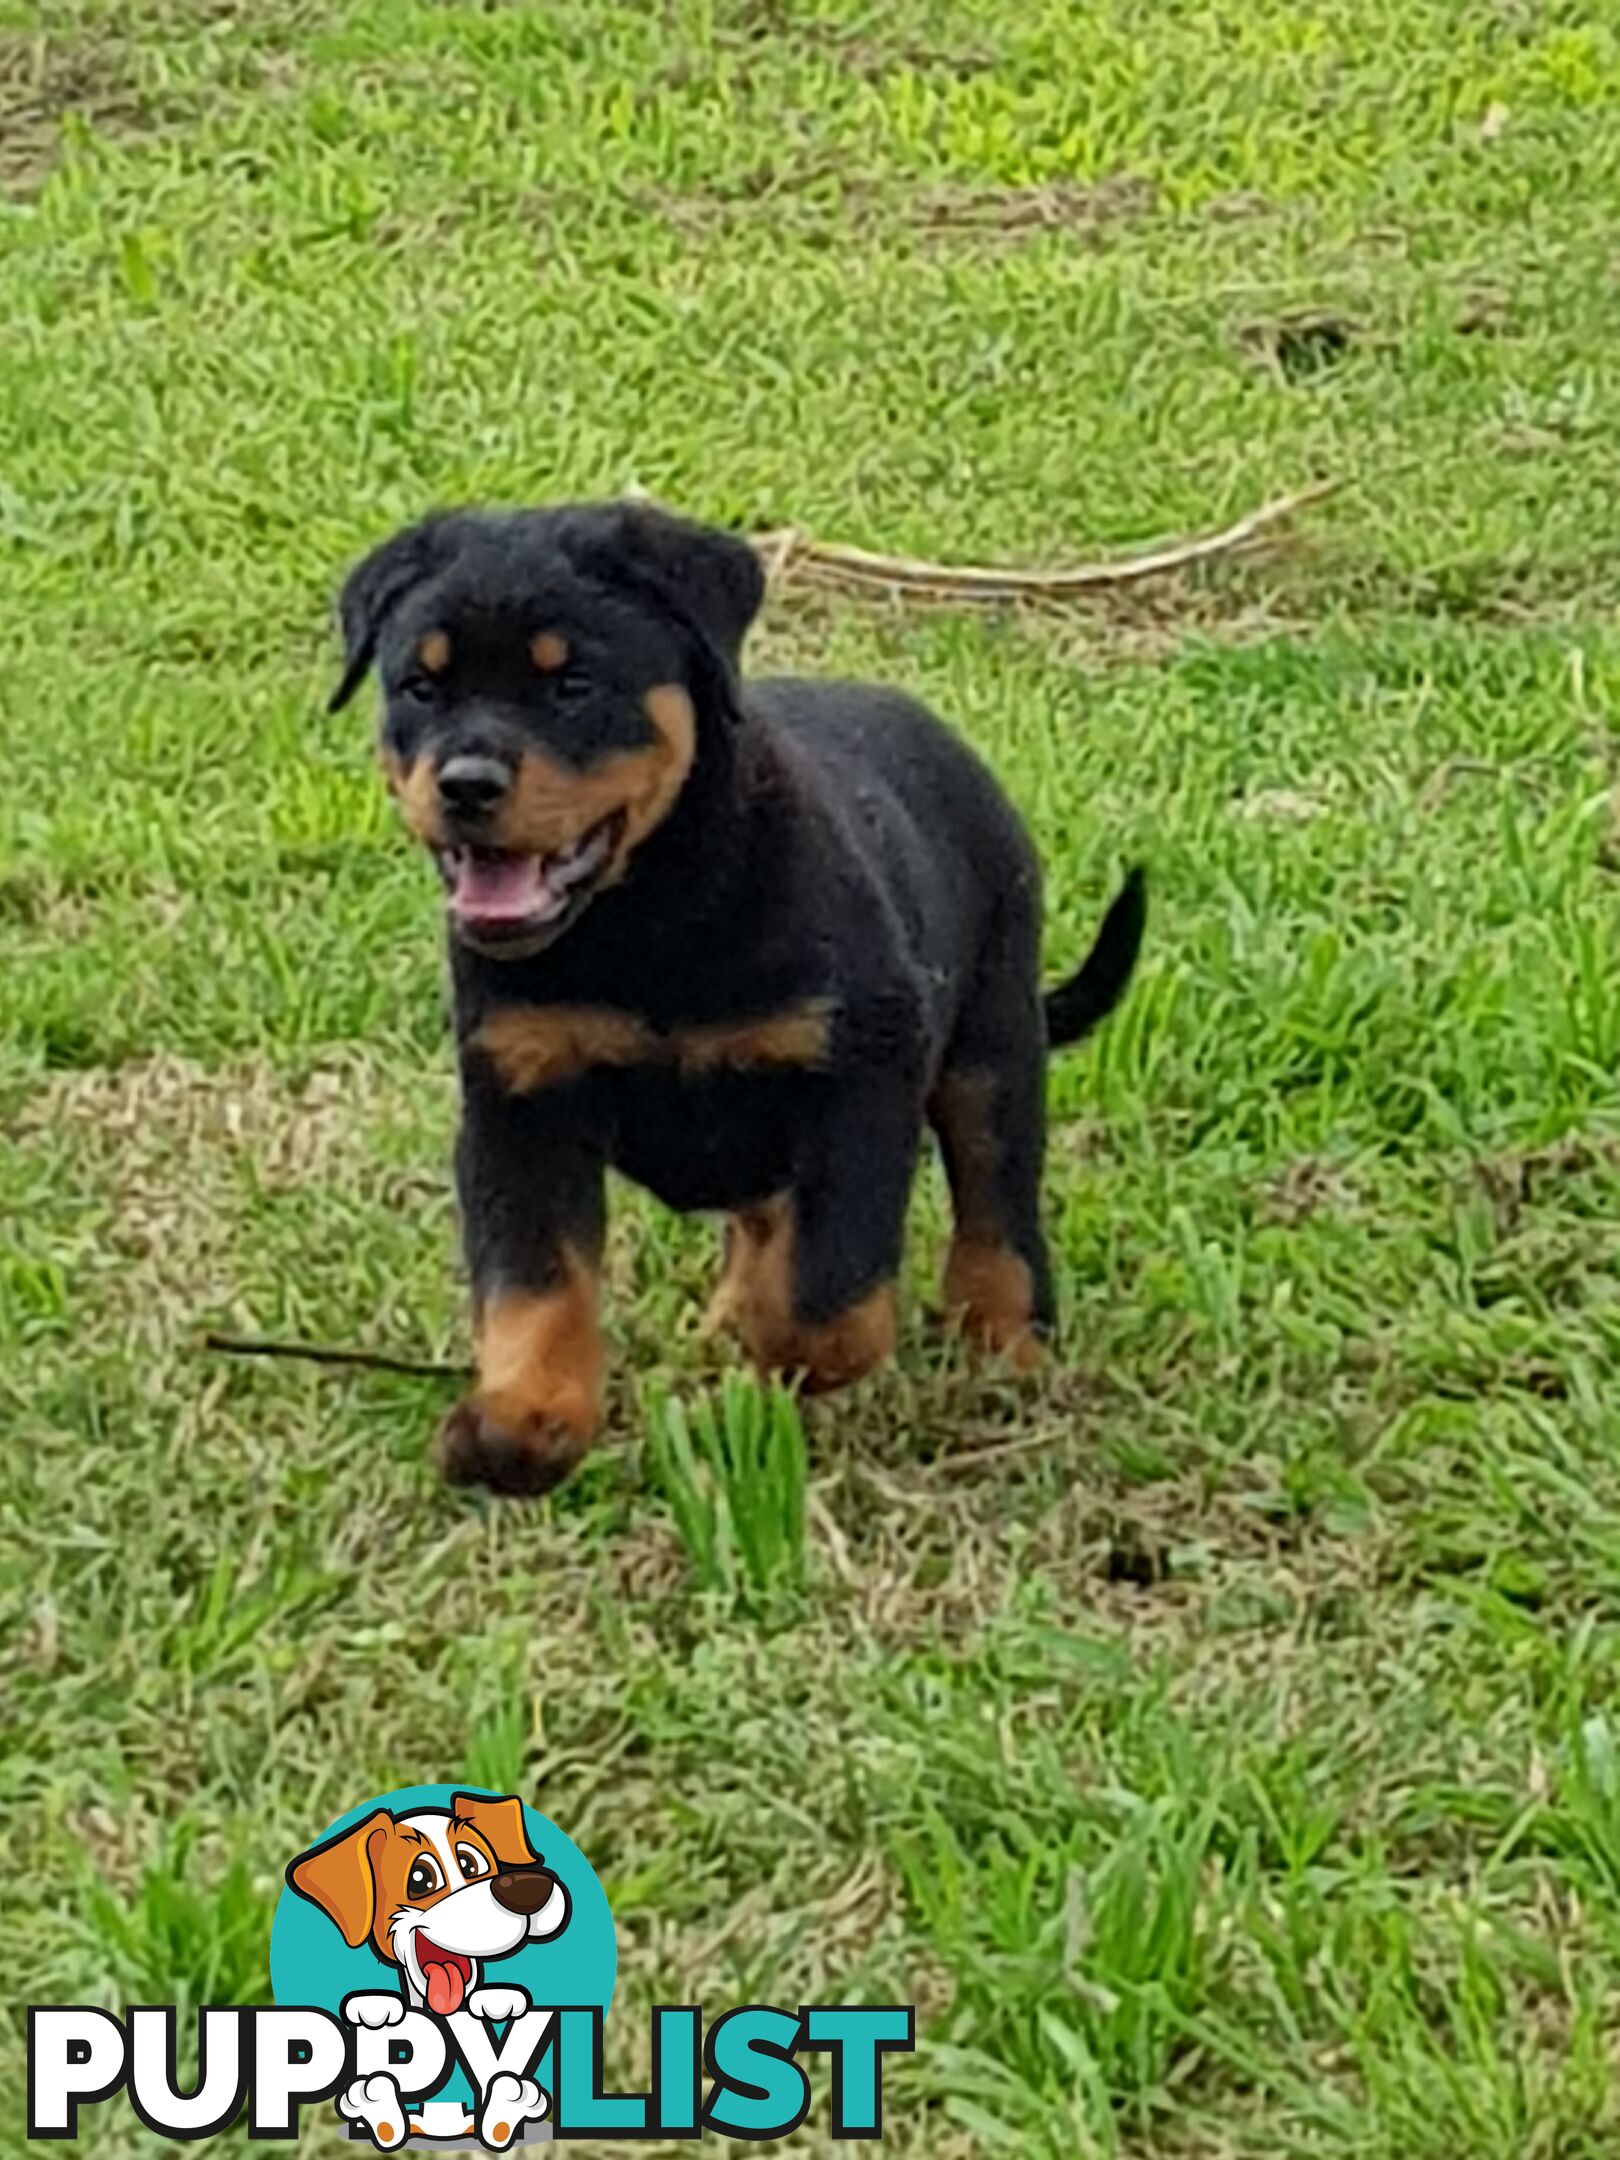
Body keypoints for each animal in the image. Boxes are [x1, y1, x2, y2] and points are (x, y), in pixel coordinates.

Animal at [330, 496, 1149, 1494]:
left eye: (573, 686)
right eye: (421, 687)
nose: (465, 784)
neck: (646, 919)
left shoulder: (861, 1074)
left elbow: (828, 1289)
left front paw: (787, 1345)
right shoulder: (519, 1099)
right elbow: (534, 1281)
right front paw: (523, 1421)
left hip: (992, 1042)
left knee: (997, 1206)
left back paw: (1006, 1347)